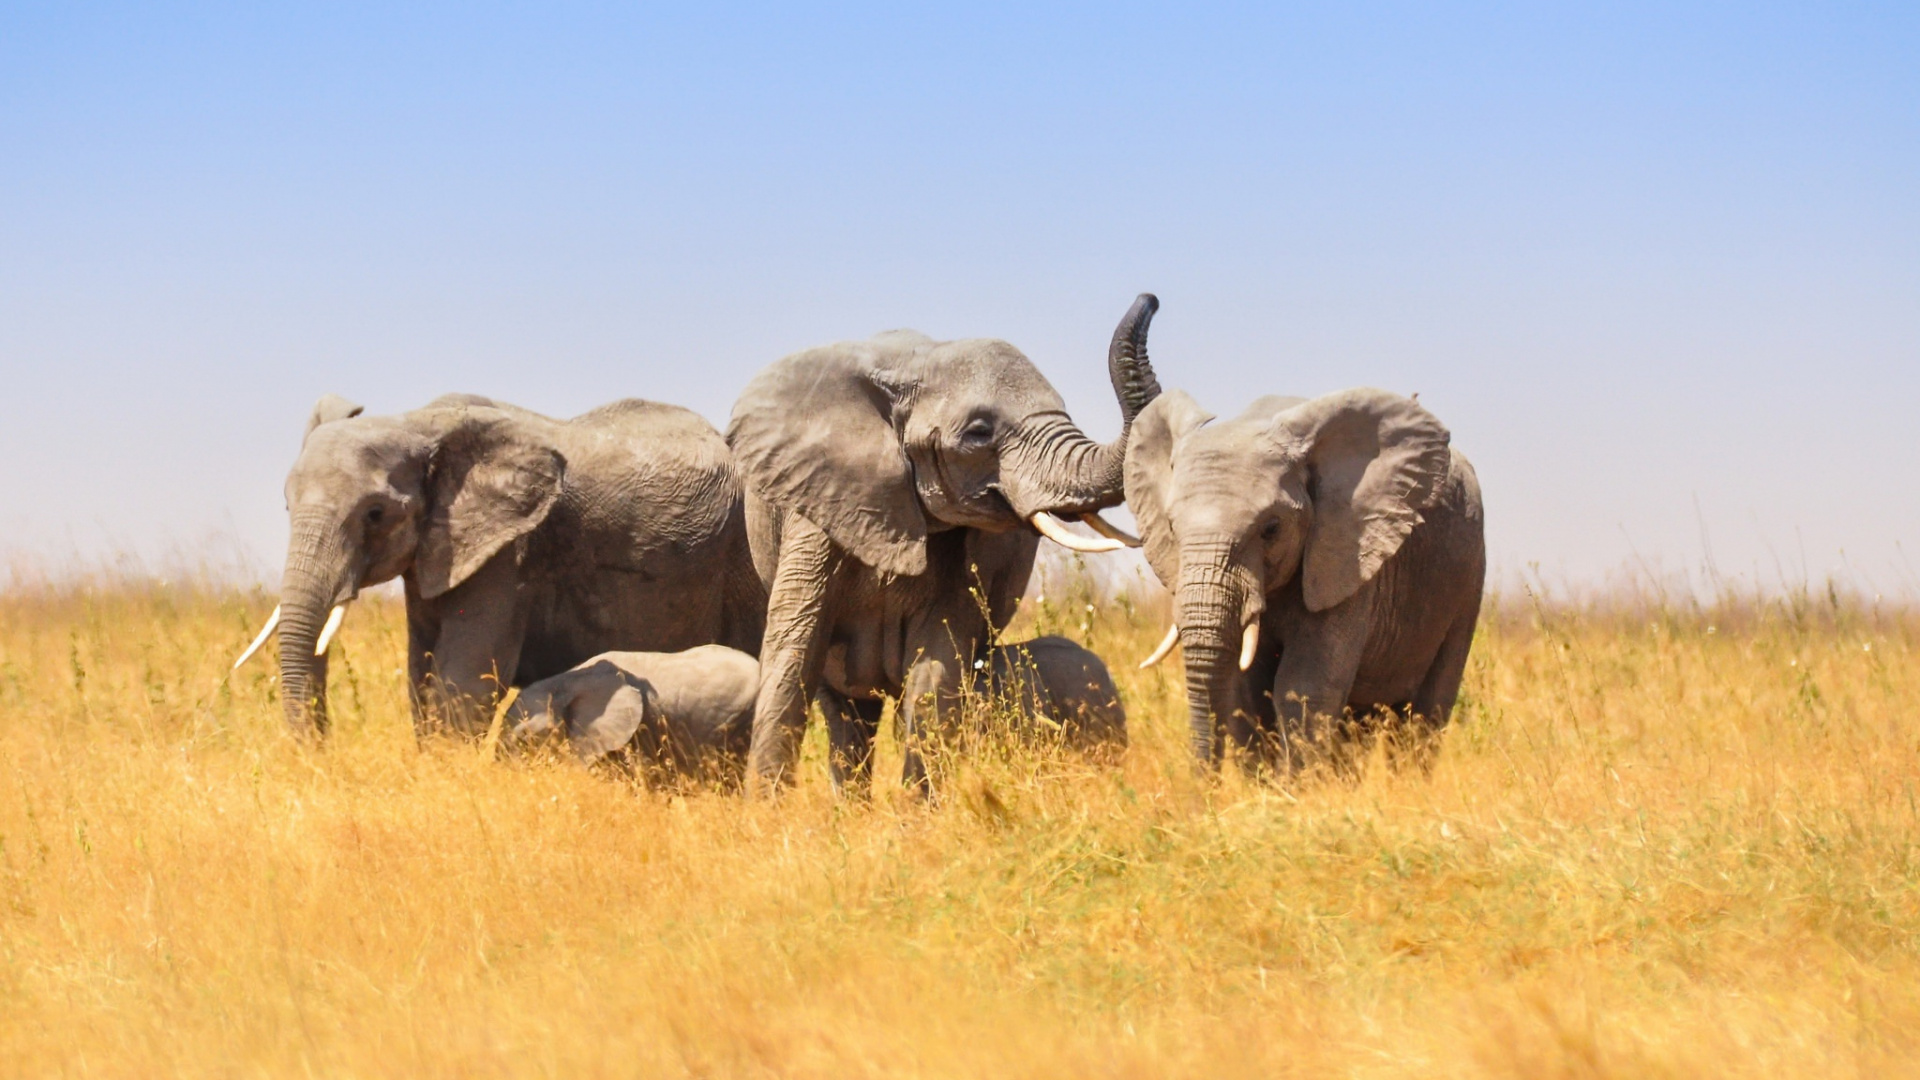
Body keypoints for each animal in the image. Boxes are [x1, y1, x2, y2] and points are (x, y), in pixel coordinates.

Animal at [235, 393, 767, 737]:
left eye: (375, 514)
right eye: (287, 506)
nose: (319, 751)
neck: (419, 422)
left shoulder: (509, 555)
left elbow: (463, 681)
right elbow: (421, 678)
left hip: (746, 552)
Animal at [728, 295, 1164, 794]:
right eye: (979, 433)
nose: (1150, 299)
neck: (914, 365)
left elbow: (936, 666)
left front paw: (917, 812)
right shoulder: (818, 502)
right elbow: (793, 650)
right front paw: (767, 808)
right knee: (844, 711)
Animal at [1124, 387, 1485, 773]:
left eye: (1271, 528)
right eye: (1172, 527)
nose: (1206, 784)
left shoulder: (1348, 555)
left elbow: (1304, 686)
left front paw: (1297, 786)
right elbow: (1248, 689)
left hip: (1468, 578)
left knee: (1427, 712)